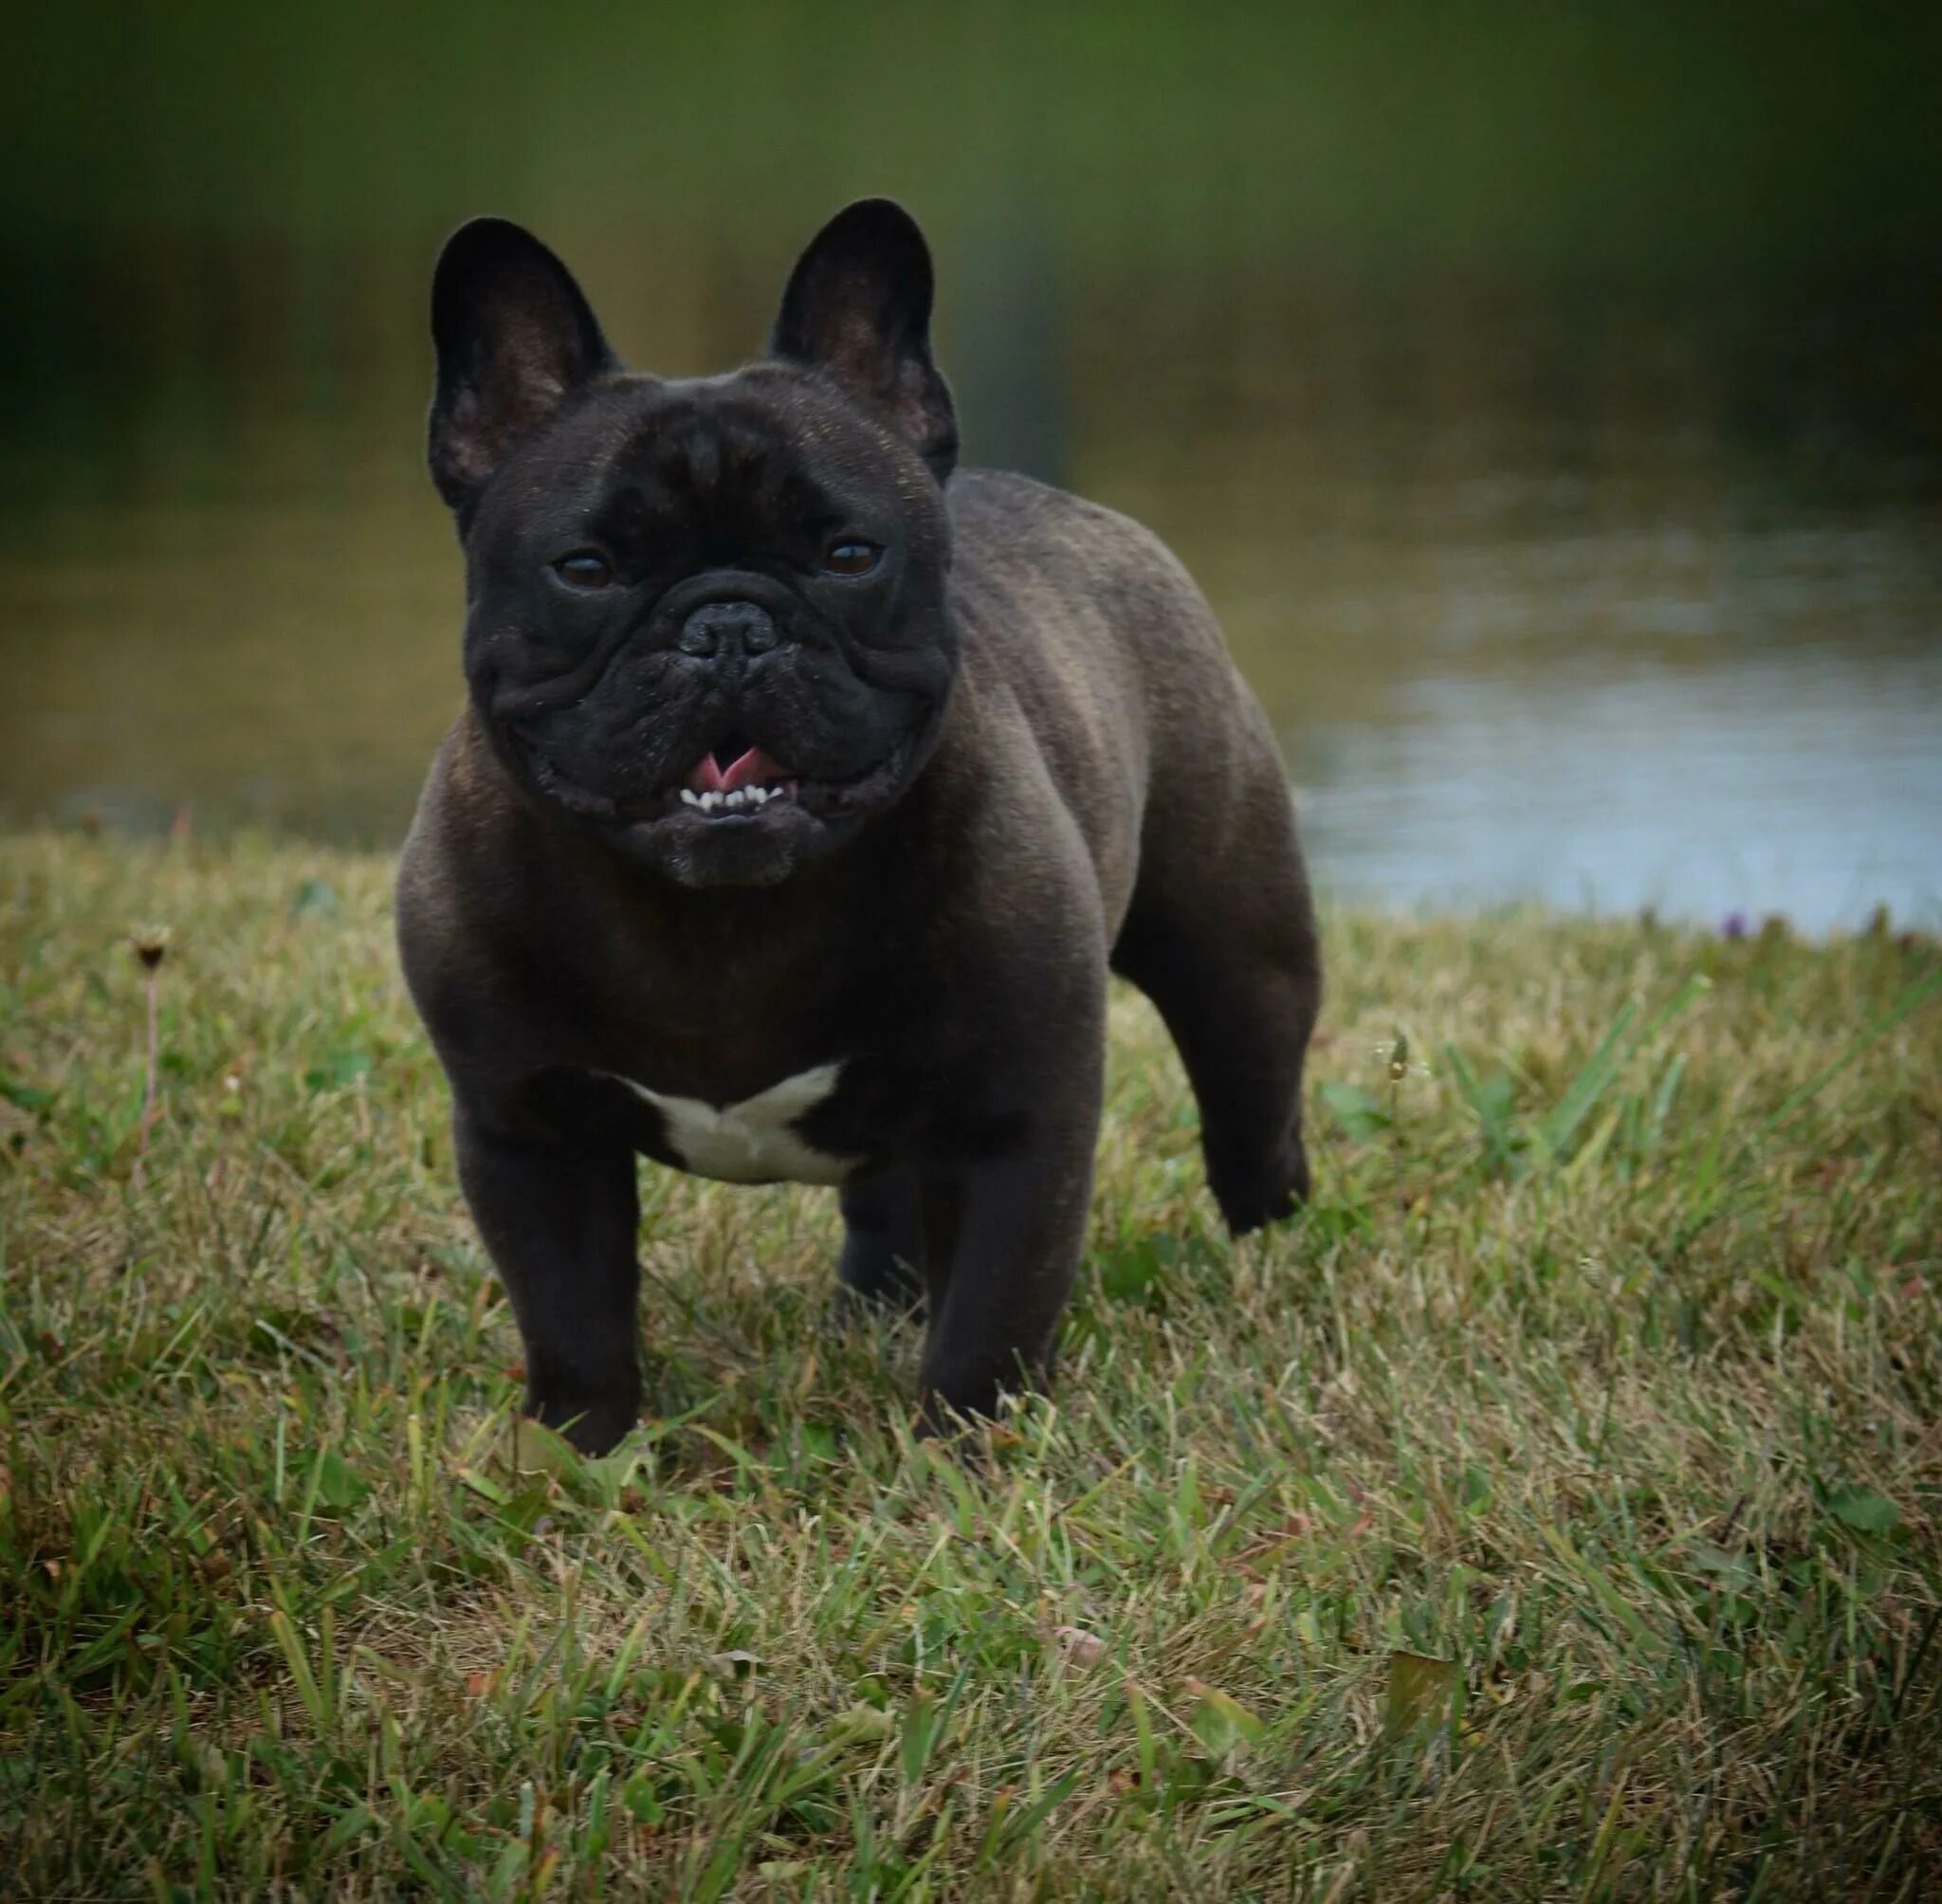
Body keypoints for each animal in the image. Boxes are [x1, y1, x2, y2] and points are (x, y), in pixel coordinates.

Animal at [401, 192, 1328, 1453]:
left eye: (848, 555)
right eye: (585, 568)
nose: (728, 625)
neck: (718, 920)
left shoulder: (1011, 1116)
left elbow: (994, 1301)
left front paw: (968, 1446)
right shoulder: (527, 1130)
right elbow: (571, 1307)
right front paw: (580, 1447)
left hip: (1234, 958)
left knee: (1249, 1111)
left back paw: (1267, 1257)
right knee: (884, 1194)